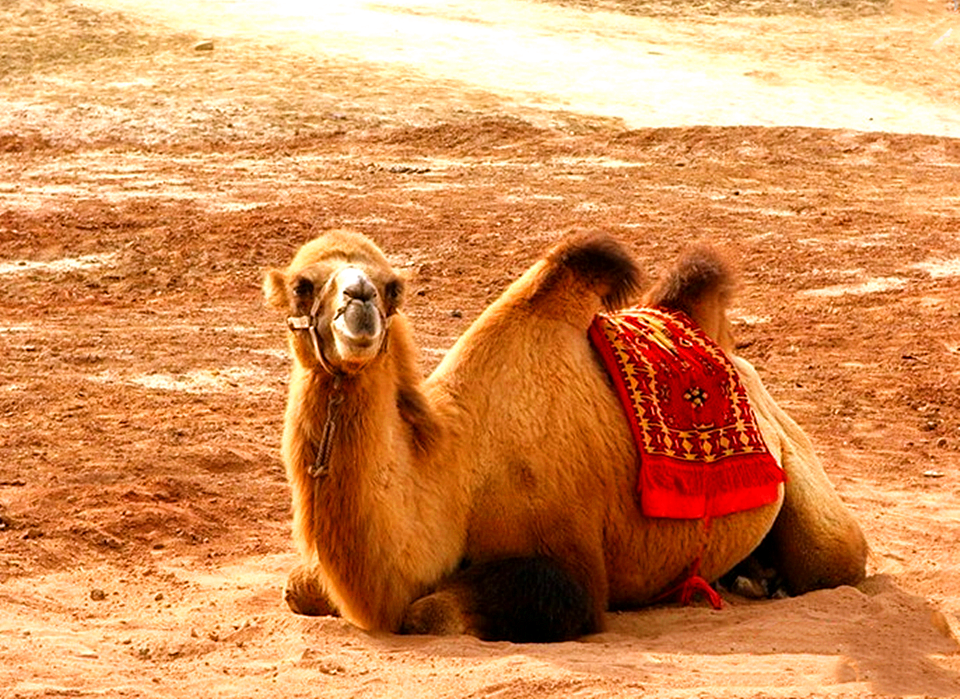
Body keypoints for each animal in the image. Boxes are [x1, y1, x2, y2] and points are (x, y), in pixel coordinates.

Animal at [262, 228, 872, 640]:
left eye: (392, 288)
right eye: (302, 286)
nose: (358, 302)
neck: (458, 469)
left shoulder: (569, 565)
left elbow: (427, 612)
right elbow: (297, 588)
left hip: (812, 500)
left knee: (834, 555)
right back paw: (748, 578)